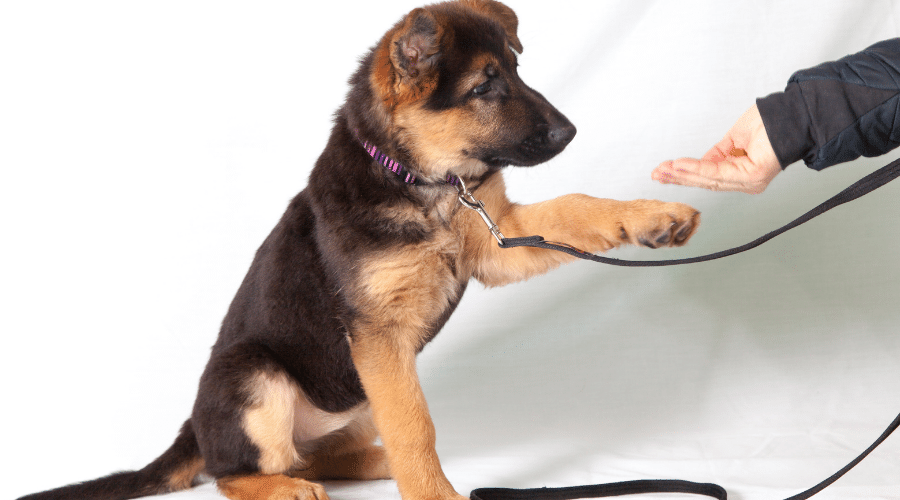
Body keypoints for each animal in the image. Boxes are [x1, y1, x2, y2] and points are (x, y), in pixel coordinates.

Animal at [19, 0, 696, 500]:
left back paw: (368, 463)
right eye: (485, 86)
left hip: (359, 394)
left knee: (314, 457)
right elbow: (415, 427)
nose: (569, 131)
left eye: (517, 71)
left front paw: (654, 216)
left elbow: (577, 208)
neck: (421, 183)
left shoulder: (495, 241)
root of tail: (193, 428)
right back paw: (284, 487)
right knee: (234, 472)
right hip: (257, 376)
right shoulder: (378, 332)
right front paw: (435, 494)